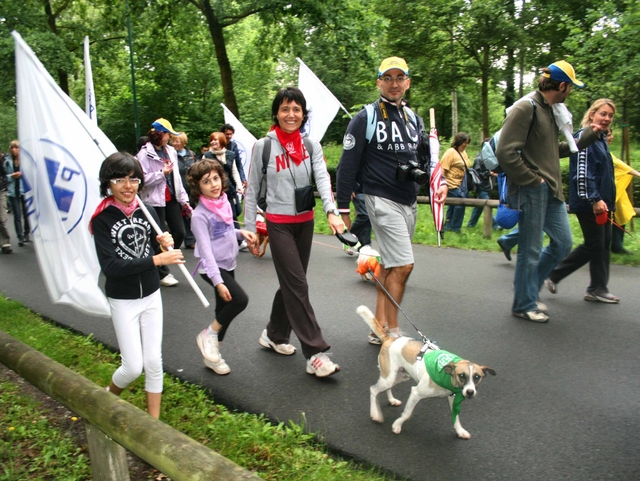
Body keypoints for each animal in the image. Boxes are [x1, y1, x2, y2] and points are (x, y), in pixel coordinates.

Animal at [358, 306, 498, 436]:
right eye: (462, 375)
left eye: (477, 377)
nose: (470, 392)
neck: (446, 376)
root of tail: (389, 338)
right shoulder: (415, 393)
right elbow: (407, 414)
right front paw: (397, 425)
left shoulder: (452, 398)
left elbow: (456, 418)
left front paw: (460, 431)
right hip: (388, 378)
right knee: (373, 390)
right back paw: (375, 414)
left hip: (399, 376)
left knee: (387, 388)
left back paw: (392, 400)